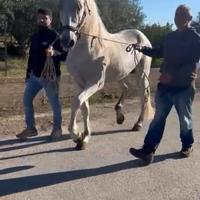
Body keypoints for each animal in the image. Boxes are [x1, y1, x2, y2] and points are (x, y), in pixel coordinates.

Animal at [58, 0, 154, 150]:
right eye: (60, 6)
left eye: (79, 7)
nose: (66, 41)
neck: (87, 48)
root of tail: (141, 36)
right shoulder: (79, 83)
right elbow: (84, 108)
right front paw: (84, 137)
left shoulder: (95, 83)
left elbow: (77, 101)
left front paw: (76, 134)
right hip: (119, 74)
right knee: (126, 88)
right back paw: (119, 115)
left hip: (141, 75)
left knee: (143, 96)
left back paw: (138, 124)